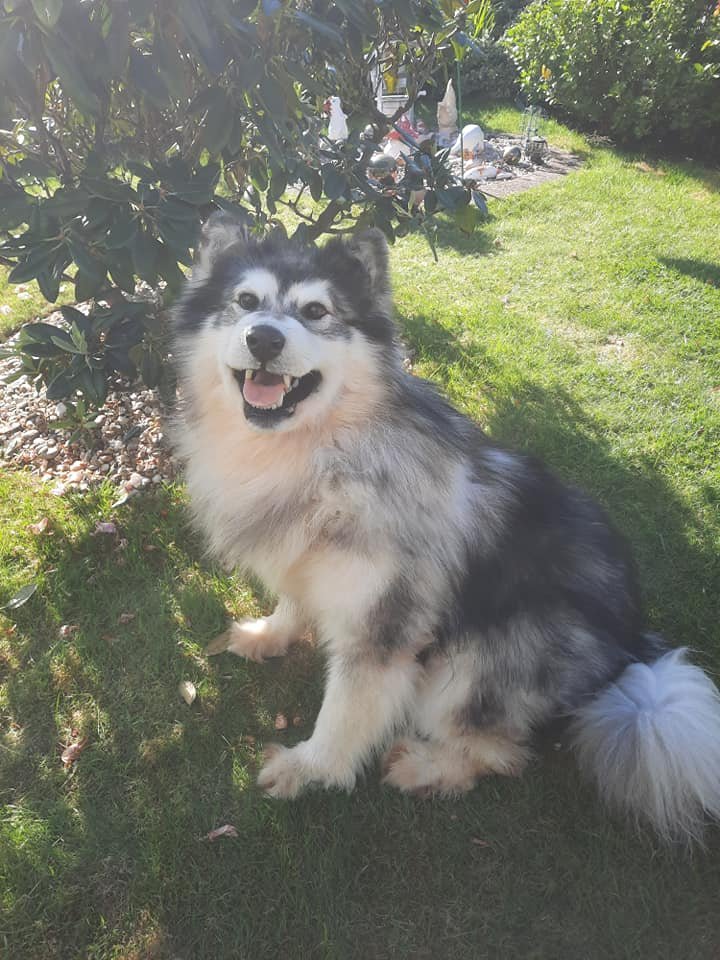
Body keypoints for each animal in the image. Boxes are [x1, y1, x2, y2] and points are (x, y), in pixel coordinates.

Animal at [172, 213, 720, 845]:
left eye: (315, 311)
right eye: (245, 301)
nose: (264, 338)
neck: (319, 454)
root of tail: (630, 656)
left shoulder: (384, 624)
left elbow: (343, 712)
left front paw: (310, 770)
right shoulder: (303, 557)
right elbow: (293, 596)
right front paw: (271, 635)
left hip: (482, 660)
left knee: (501, 751)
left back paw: (429, 768)